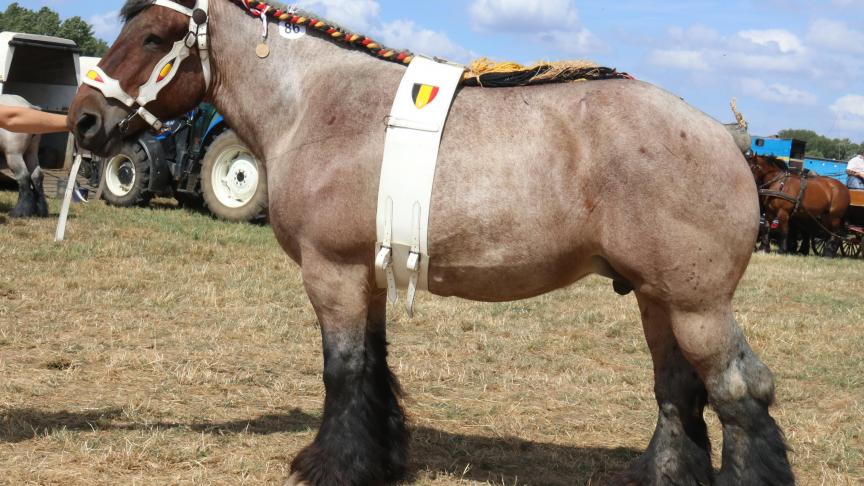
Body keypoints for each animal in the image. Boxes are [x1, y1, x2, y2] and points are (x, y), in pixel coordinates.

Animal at [69, 1, 796, 484]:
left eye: (153, 35)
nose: (83, 120)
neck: (315, 105)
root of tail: (730, 141)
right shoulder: (366, 275)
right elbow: (374, 367)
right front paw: (379, 458)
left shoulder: (330, 272)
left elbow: (344, 370)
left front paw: (332, 465)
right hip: (656, 298)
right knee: (679, 391)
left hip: (697, 305)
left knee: (740, 390)